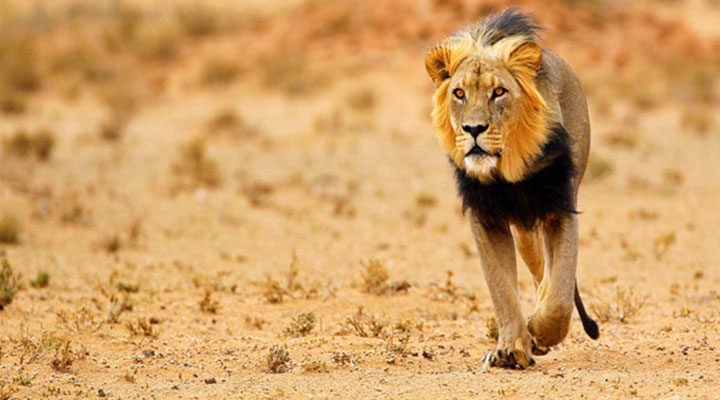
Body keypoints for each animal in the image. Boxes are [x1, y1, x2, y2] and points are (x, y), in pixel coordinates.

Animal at [424, 8, 599, 369]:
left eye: (499, 92)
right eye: (459, 93)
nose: (473, 128)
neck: (506, 171)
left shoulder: (560, 207)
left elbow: (560, 295)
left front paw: (542, 331)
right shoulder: (486, 217)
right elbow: (501, 288)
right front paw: (511, 348)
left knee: (550, 275)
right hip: (523, 230)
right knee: (537, 269)